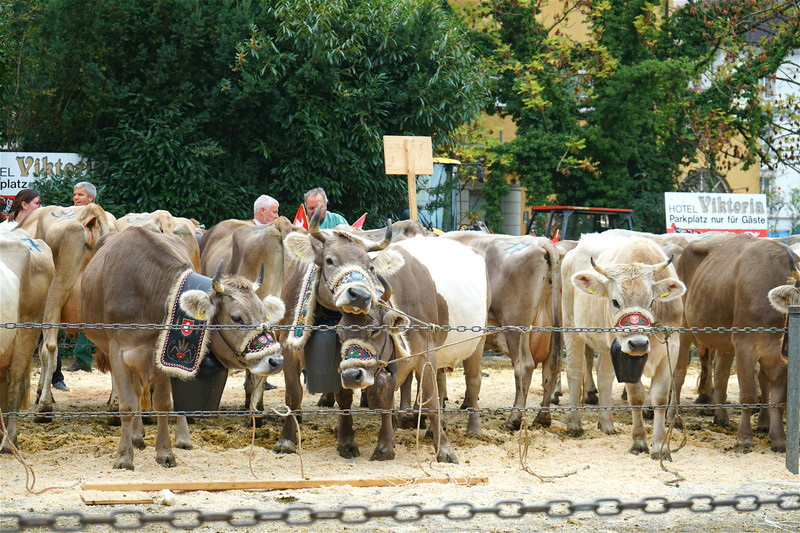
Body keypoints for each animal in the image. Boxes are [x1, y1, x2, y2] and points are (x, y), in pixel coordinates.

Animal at [80, 227, 288, 468]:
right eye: (236, 318)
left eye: (264, 314)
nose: (276, 360)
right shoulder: (118, 353)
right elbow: (128, 406)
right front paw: (124, 456)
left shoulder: (163, 356)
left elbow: (163, 404)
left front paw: (165, 452)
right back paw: (136, 435)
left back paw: (181, 438)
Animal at [560, 233, 684, 458]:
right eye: (615, 301)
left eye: (652, 301)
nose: (638, 344)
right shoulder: (625, 352)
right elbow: (636, 397)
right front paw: (639, 441)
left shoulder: (671, 347)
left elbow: (660, 398)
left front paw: (660, 447)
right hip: (571, 328)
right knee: (575, 372)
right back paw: (574, 424)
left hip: (606, 343)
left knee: (604, 375)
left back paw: (606, 424)